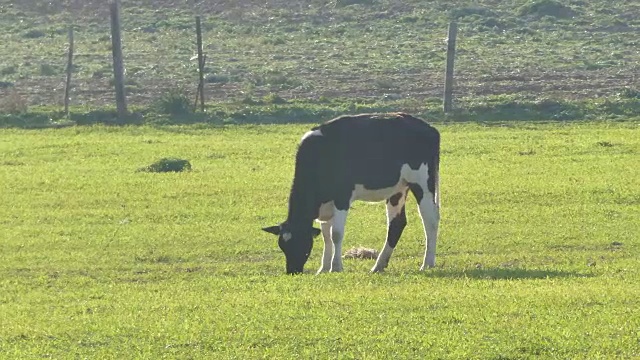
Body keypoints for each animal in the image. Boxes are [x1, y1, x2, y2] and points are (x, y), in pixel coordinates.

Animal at [262, 111, 440, 274]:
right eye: (283, 246)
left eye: (301, 243)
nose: (292, 271)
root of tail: (429, 128)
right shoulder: (326, 206)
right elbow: (326, 235)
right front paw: (323, 268)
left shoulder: (342, 197)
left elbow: (336, 233)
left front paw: (336, 267)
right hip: (398, 189)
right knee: (397, 224)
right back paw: (379, 265)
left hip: (423, 183)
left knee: (430, 220)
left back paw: (427, 264)